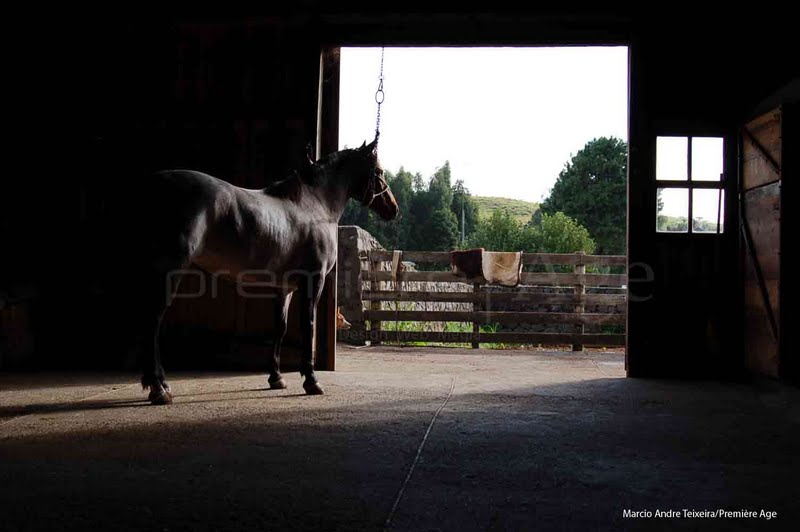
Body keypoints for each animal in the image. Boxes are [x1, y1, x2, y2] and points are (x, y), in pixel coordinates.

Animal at [121, 137, 396, 404]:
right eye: (379, 171)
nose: (393, 209)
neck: (315, 205)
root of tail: (153, 185)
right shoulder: (313, 280)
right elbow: (308, 325)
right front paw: (311, 381)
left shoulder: (284, 288)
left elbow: (280, 328)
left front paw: (276, 378)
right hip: (169, 271)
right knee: (153, 320)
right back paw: (159, 388)